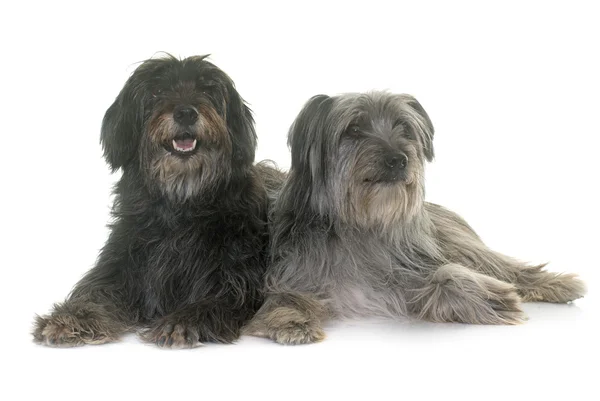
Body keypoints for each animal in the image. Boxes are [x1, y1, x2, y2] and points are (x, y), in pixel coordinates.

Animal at [32, 54, 276, 346]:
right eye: (157, 91)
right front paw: (71, 318)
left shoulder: (235, 279)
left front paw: (180, 322)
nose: (186, 113)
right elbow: (96, 293)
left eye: (207, 90)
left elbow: (214, 300)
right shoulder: (120, 267)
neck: (181, 202)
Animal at [244, 90, 584, 344]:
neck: (360, 226)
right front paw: (292, 321)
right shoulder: (291, 275)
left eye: (404, 127)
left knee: (508, 267)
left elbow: (444, 274)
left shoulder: (410, 268)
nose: (398, 159)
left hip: (458, 245)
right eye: (353, 129)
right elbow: (286, 297)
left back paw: (559, 284)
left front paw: (490, 298)